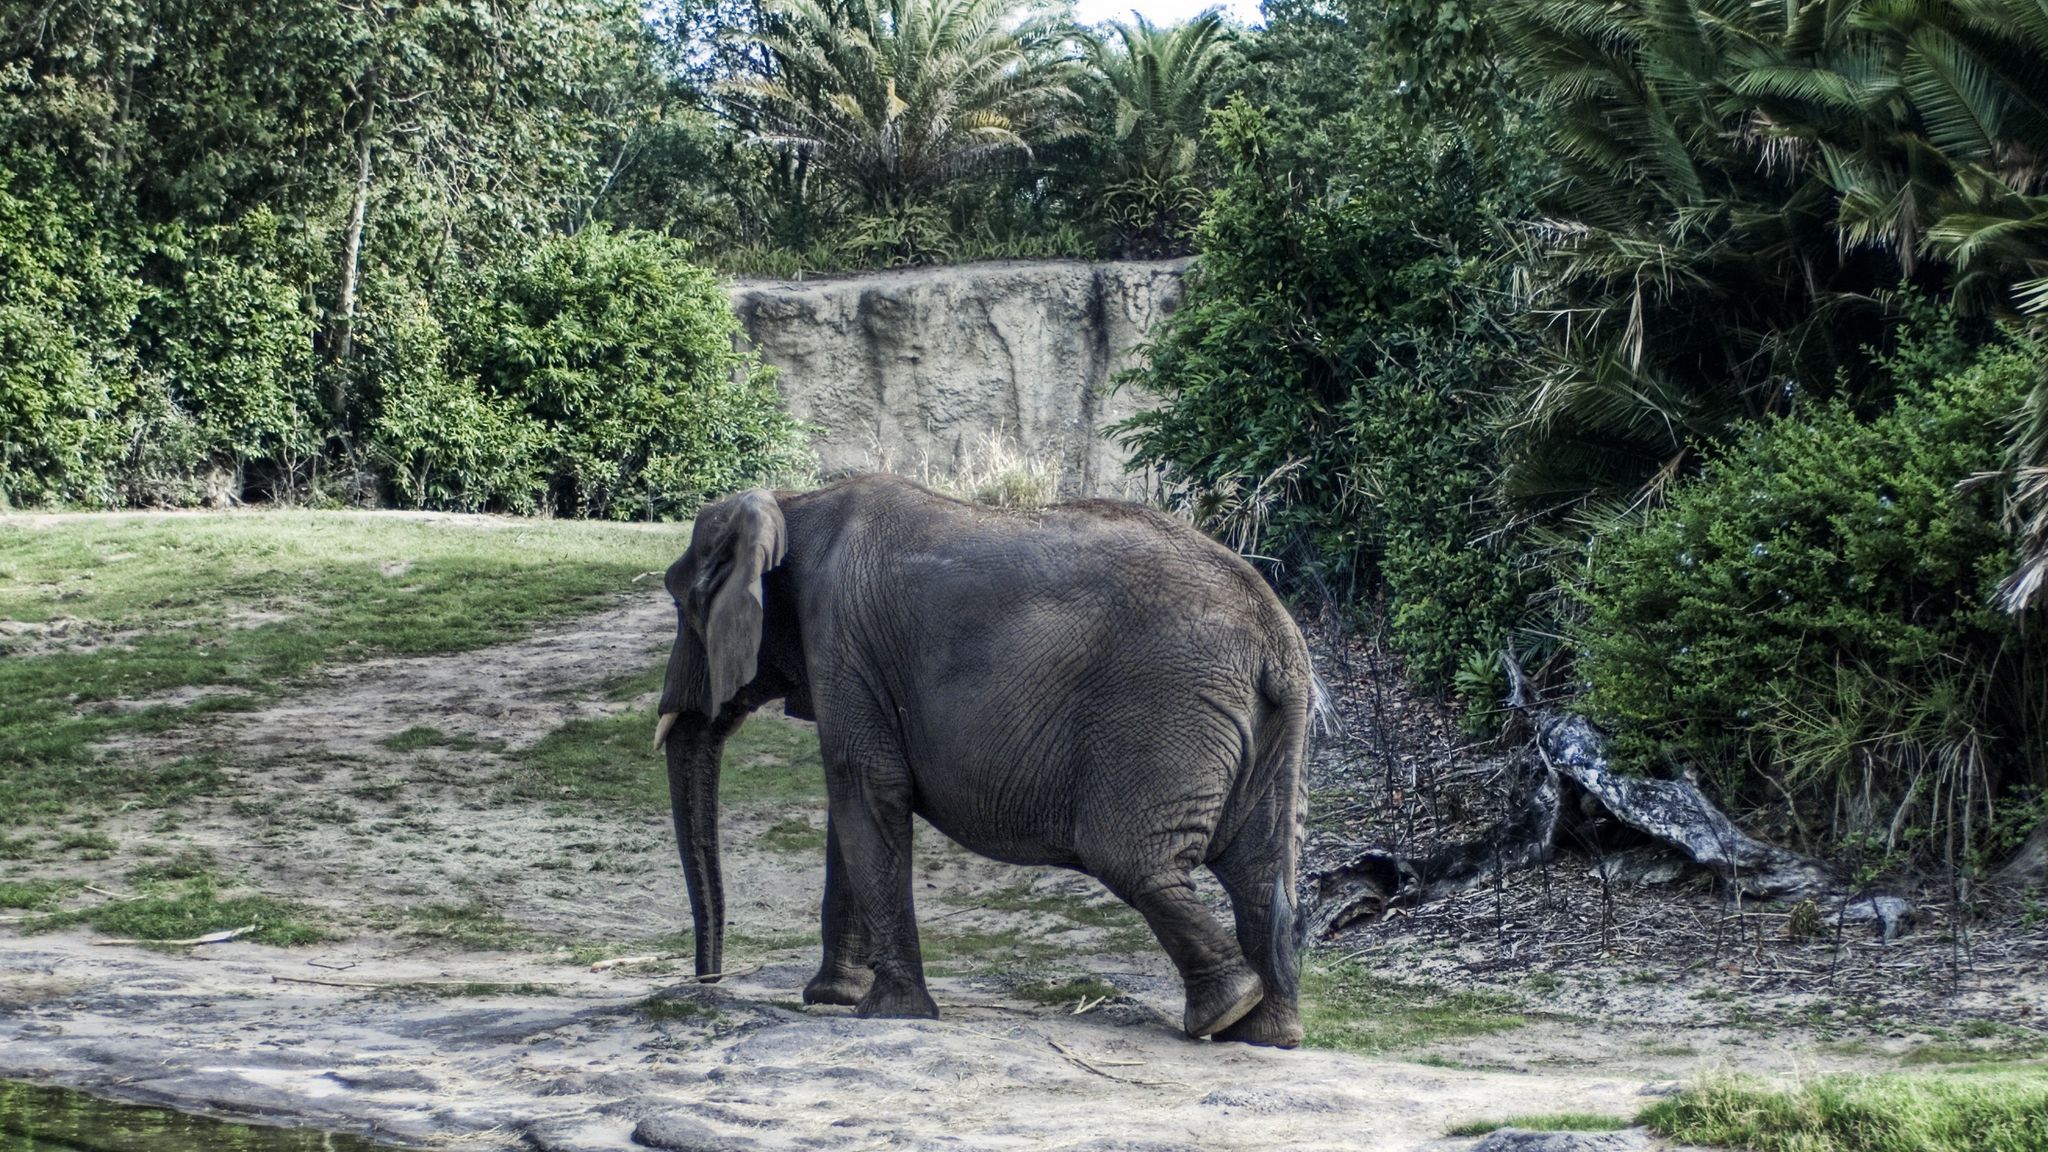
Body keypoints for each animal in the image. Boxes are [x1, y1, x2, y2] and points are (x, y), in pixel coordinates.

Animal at [659, 471, 1327, 1045]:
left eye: (683, 605)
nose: (709, 980)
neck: (791, 504)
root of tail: (1279, 636)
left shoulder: (841, 636)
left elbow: (867, 791)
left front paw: (886, 1013)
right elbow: (851, 804)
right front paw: (834, 999)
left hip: (1166, 712)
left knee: (1132, 859)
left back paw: (1226, 1010)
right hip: (1268, 728)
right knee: (1261, 872)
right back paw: (1266, 1033)